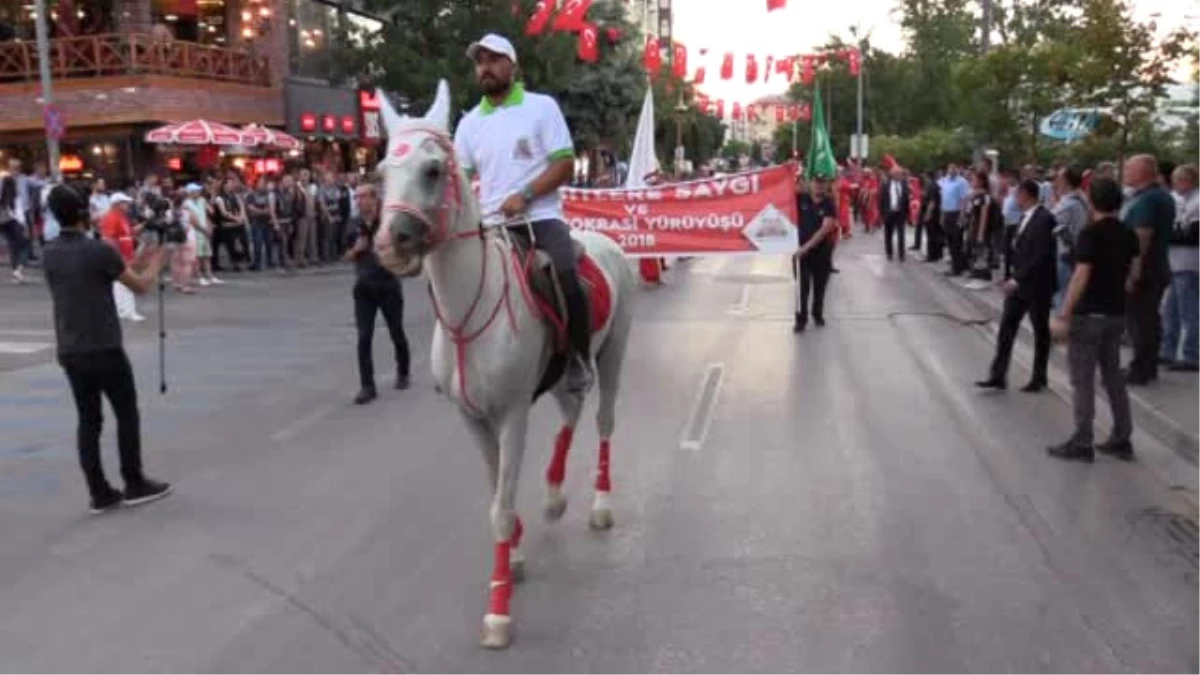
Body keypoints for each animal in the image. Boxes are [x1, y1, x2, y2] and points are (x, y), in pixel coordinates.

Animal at [372, 79, 638, 648]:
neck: (468, 312)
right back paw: (555, 493)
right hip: (562, 374)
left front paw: (498, 613)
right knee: (570, 414)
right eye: (381, 171)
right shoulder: (473, 419)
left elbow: (498, 507)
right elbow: (498, 492)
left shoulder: (513, 413)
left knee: (603, 421)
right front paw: (514, 552)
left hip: (614, 353)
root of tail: (605, 241)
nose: (389, 244)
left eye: (433, 170)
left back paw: (600, 504)